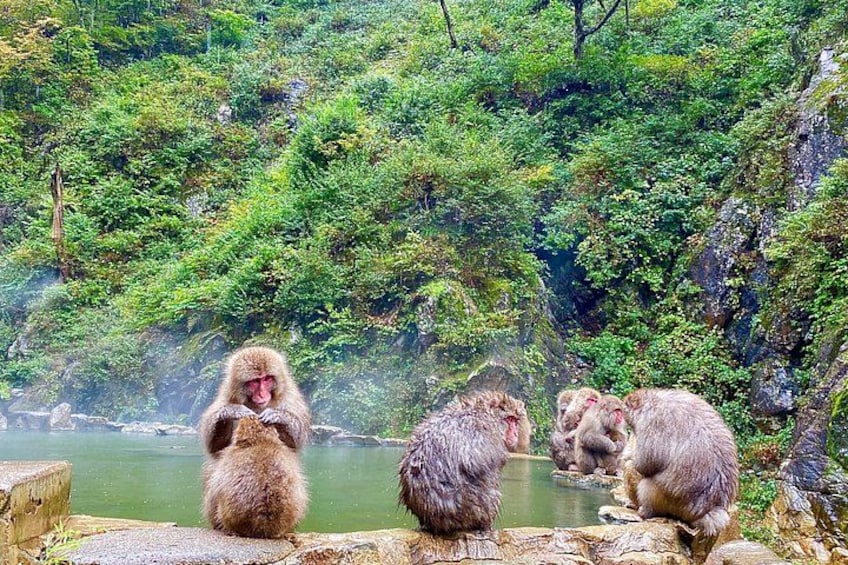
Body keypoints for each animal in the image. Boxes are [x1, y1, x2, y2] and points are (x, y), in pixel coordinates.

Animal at [398, 390, 523, 535]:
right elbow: (473, 461)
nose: (516, 434)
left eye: (516, 421)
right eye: (510, 419)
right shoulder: (483, 433)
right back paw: (485, 525)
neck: (487, 414)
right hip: (472, 509)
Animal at [623, 388, 739, 537]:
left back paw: (644, 510)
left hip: (668, 499)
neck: (653, 401)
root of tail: (706, 512)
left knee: (640, 480)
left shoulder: (651, 422)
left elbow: (645, 462)